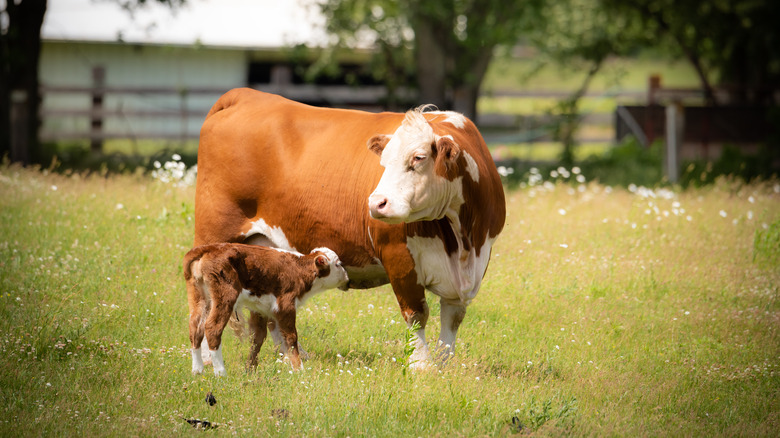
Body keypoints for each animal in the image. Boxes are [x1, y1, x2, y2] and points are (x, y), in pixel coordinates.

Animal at [183, 241, 348, 374]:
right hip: (225, 295)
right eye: (338, 264)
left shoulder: (260, 309)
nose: (347, 277)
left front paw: (250, 369)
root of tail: (210, 248)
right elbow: (290, 337)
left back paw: (197, 371)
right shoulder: (285, 306)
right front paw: (299, 369)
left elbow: (258, 338)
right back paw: (221, 373)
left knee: (195, 327)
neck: (299, 270)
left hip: (200, 297)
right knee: (212, 328)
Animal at [195, 88, 506, 366]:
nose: (376, 203)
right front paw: (421, 366)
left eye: (418, 158)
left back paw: (290, 356)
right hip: (214, 237)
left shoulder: (474, 265)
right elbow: (417, 314)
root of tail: (246, 94)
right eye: (383, 161)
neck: (462, 240)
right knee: (207, 304)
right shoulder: (399, 257)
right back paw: (210, 360)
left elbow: (452, 319)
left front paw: (443, 366)